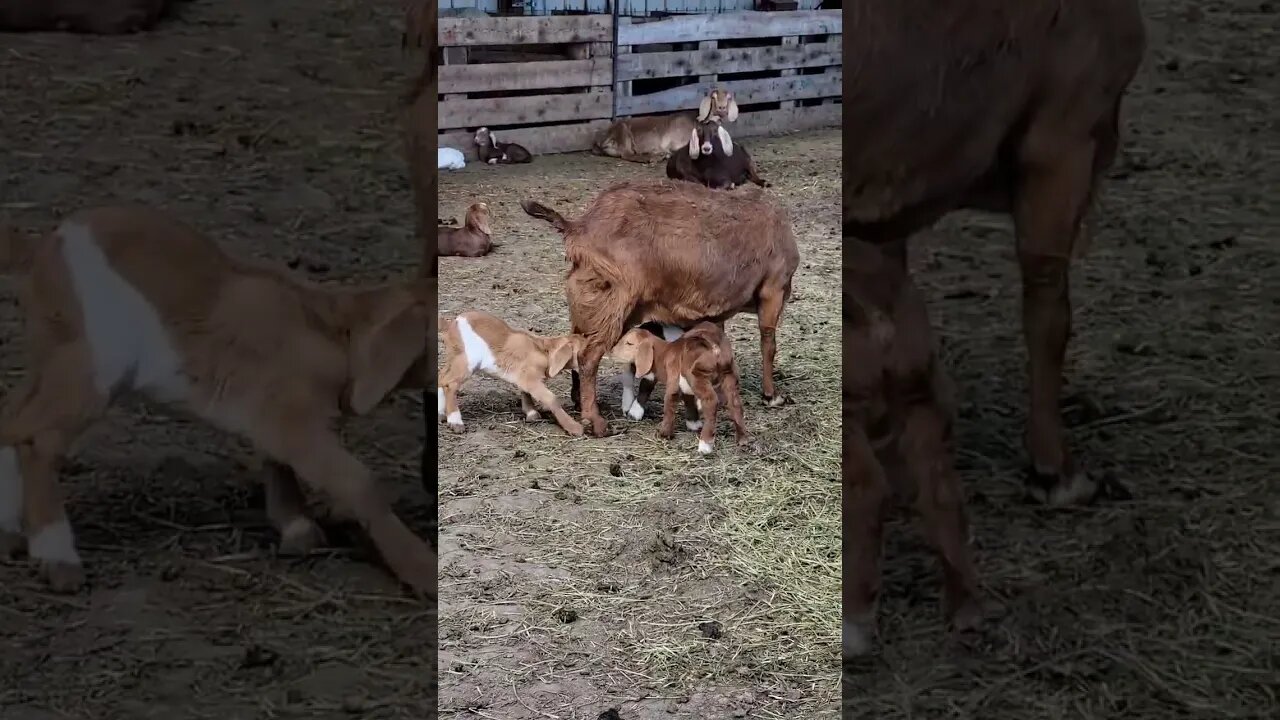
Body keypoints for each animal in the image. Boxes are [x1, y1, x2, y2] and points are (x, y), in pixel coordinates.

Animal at [0, 206, 435, 594]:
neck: (336, 331)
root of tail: (41, 251)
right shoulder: (295, 424)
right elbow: (359, 483)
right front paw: (421, 570)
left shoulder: (272, 415)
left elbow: (276, 461)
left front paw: (296, 528)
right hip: (95, 362)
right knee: (39, 440)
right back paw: (58, 558)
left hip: (53, 353)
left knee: (12, 419)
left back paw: (9, 531)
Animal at [435, 307, 586, 430]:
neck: (544, 351)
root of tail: (450, 325)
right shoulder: (530, 379)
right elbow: (551, 398)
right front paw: (574, 428)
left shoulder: (524, 376)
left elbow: (525, 391)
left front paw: (531, 413)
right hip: (468, 360)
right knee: (450, 383)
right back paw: (456, 422)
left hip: (455, 357)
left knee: (441, 377)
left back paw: (441, 414)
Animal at [609, 320, 747, 450]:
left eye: (629, 343)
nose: (612, 351)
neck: (665, 353)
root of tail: (715, 349)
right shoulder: (684, 384)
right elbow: (688, 400)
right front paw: (693, 423)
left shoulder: (673, 380)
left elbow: (668, 403)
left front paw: (663, 433)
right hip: (728, 375)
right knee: (735, 403)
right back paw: (742, 439)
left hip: (699, 376)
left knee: (711, 401)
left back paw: (705, 445)